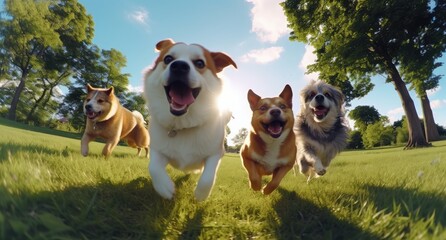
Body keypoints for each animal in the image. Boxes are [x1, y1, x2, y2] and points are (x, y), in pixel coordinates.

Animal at [145, 39, 239, 201]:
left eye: (200, 63)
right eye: (168, 59)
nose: (179, 66)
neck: (183, 123)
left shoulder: (216, 153)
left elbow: (208, 177)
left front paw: (201, 194)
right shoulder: (157, 149)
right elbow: (154, 167)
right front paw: (164, 187)